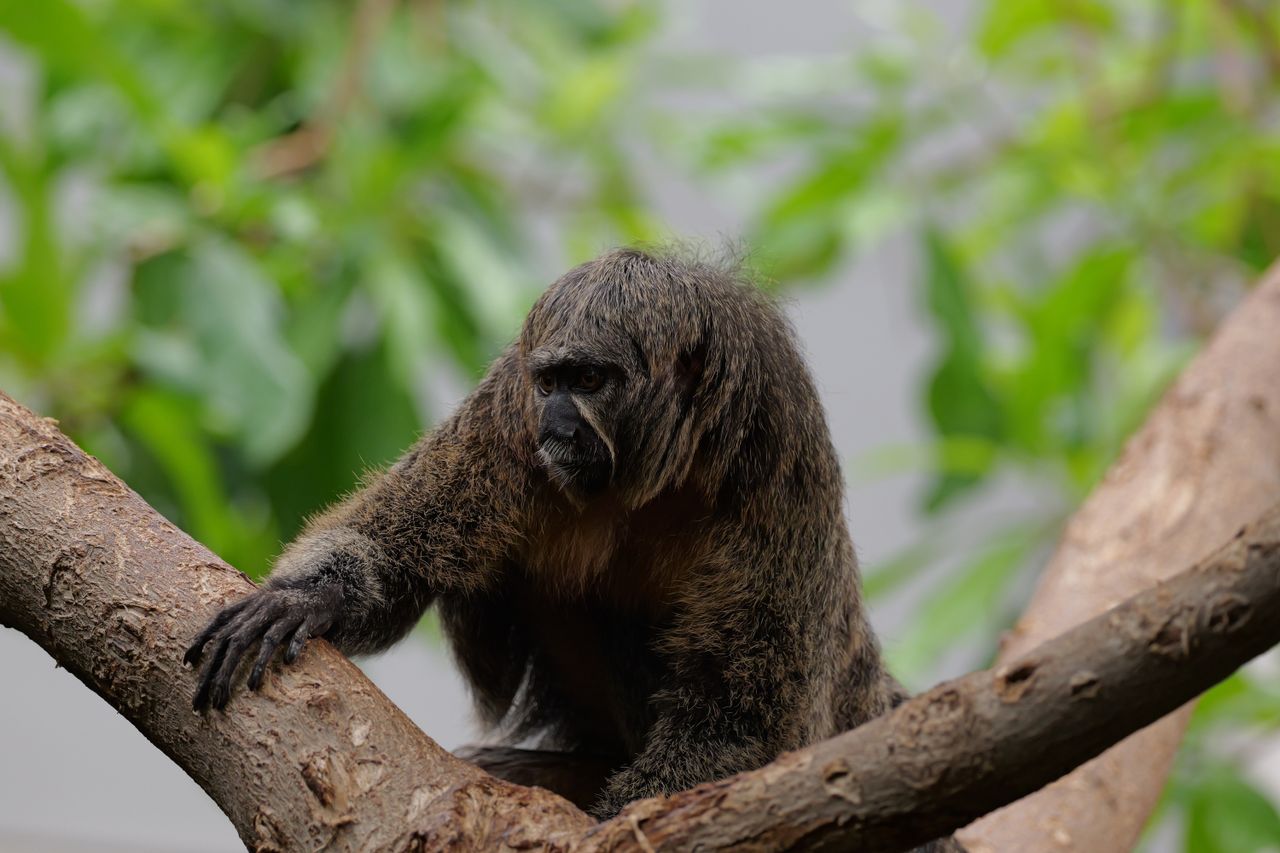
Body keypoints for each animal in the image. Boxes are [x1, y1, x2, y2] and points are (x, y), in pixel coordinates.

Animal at [184, 247, 963, 848]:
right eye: (551, 381)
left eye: (589, 381)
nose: (557, 418)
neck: (654, 474)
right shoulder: (507, 412)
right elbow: (393, 551)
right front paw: (309, 596)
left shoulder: (777, 452)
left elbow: (739, 717)